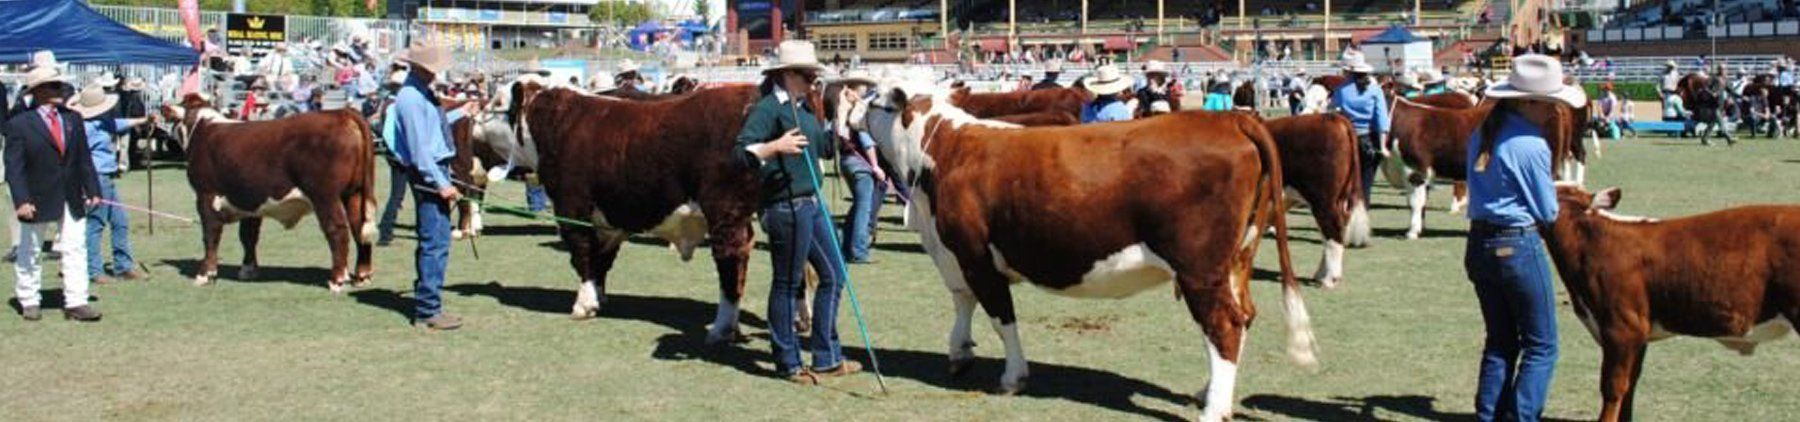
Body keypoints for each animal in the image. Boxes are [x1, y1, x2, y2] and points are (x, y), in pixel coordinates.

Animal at [163, 93, 377, 292]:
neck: (203, 129)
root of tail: (341, 113)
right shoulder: (249, 200)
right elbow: (248, 235)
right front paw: (248, 270)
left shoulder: (206, 195)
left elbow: (210, 236)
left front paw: (205, 274)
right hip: (355, 193)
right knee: (359, 229)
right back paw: (362, 276)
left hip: (325, 196)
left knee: (337, 231)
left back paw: (337, 280)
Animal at [516, 83, 764, 344]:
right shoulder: (608, 220)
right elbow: (601, 259)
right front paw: (599, 297)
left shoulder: (572, 208)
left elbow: (582, 255)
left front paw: (583, 305)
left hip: (725, 211)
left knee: (731, 258)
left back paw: (721, 329)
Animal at [860, 85, 1318, 422]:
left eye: (878, 101)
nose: (858, 107)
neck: (948, 149)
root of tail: (1232, 119)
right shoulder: (955, 255)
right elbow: (963, 302)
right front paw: (959, 353)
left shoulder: (973, 254)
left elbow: (1000, 318)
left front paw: (1012, 377)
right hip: (1237, 259)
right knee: (1242, 317)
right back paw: (1206, 392)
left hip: (1200, 268)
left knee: (1223, 325)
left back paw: (1213, 409)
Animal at [1263, 113, 1369, 287]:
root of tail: (1331, 117)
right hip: (1336, 200)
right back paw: (1320, 274)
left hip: (1323, 200)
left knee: (1332, 231)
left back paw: (1329, 279)